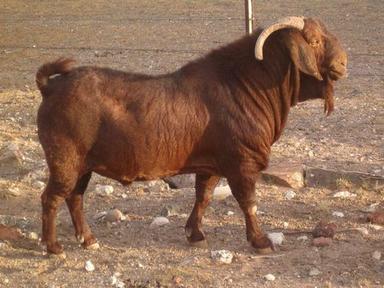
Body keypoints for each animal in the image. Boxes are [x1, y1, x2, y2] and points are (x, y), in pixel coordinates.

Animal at [36, 16, 348, 255]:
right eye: (314, 41)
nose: (343, 63)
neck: (245, 85)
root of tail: (50, 87)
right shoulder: (241, 163)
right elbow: (248, 202)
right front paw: (260, 242)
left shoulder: (211, 165)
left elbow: (203, 197)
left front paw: (195, 234)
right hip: (64, 160)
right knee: (51, 197)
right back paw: (54, 247)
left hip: (83, 165)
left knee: (75, 198)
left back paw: (88, 240)